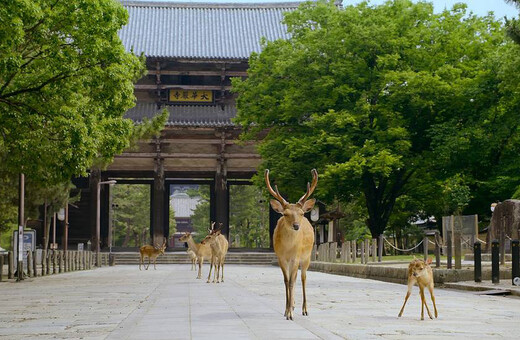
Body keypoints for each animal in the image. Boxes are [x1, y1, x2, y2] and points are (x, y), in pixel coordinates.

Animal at [264, 169, 316, 320]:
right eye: (285, 214)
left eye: (302, 213)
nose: (296, 226)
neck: (288, 249)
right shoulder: (281, 258)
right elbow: (287, 281)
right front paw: (287, 310)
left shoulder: (295, 257)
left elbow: (292, 281)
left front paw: (290, 314)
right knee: (295, 277)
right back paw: (293, 305)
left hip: (307, 257)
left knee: (303, 278)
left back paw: (305, 309)